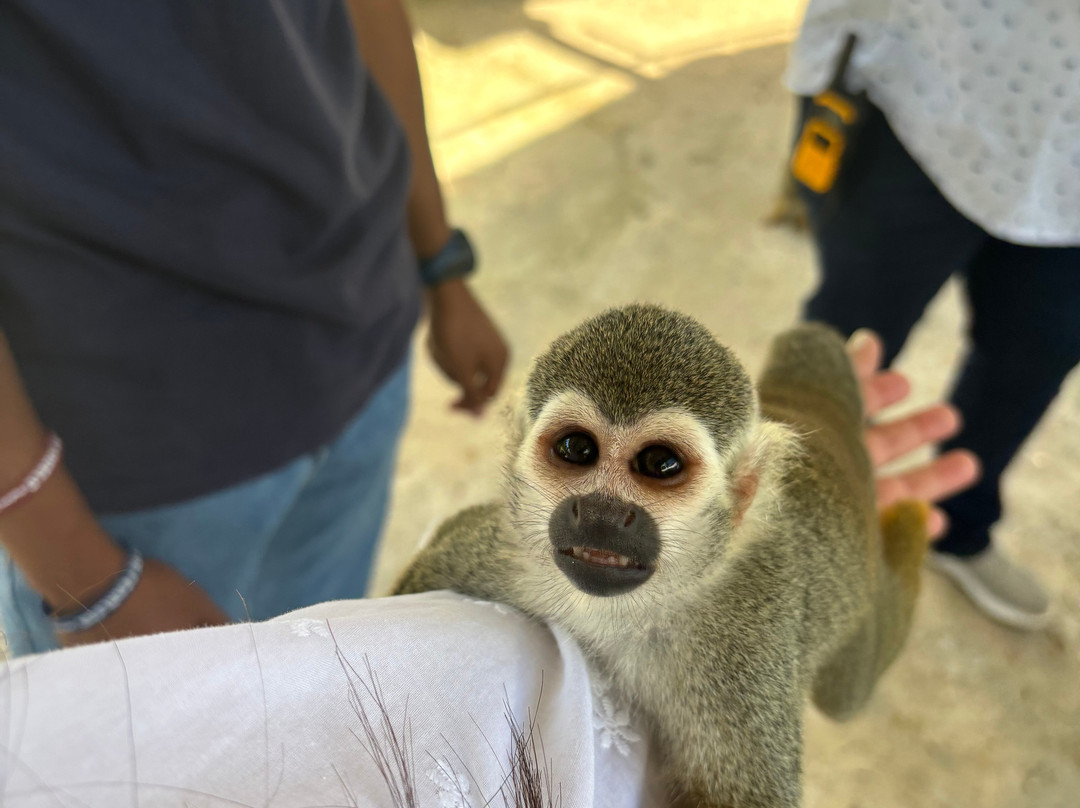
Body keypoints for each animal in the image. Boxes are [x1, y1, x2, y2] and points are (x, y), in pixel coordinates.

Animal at [393, 304, 928, 808]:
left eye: (660, 463)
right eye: (576, 448)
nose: (602, 511)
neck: (627, 608)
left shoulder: (745, 638)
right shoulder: (507, 556)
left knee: (846, 693)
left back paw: (909, 532)